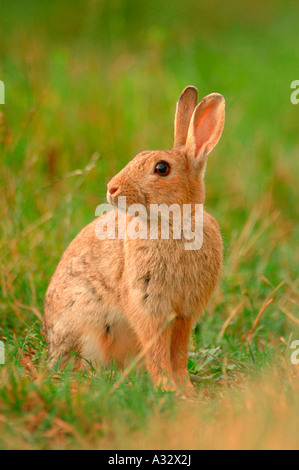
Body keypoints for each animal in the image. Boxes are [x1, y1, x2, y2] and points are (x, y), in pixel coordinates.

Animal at [44, 86, 225, 394]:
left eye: (162, 168)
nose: (111, 188)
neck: (173, 224)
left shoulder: (184, 315)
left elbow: (178, 354)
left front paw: (185, 390)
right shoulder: (147, 306)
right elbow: (157, 352)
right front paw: (168, 389)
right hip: (88, 328)